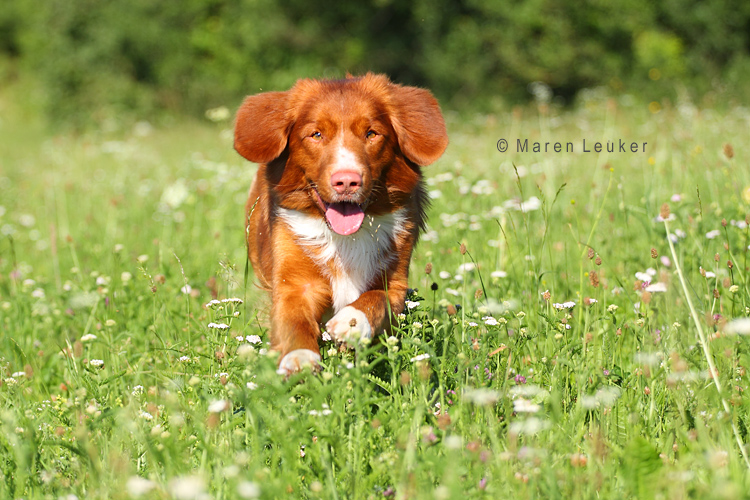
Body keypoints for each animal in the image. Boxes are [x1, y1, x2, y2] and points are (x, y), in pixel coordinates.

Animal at [235, 73, 446, 372]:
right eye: (316, 134)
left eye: (371, 133)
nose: (346, 181)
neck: (345, 237)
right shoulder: (293, 284)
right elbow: (294, 321)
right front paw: (300, 357)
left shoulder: (395, 283)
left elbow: (377, 298)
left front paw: (352, 321)